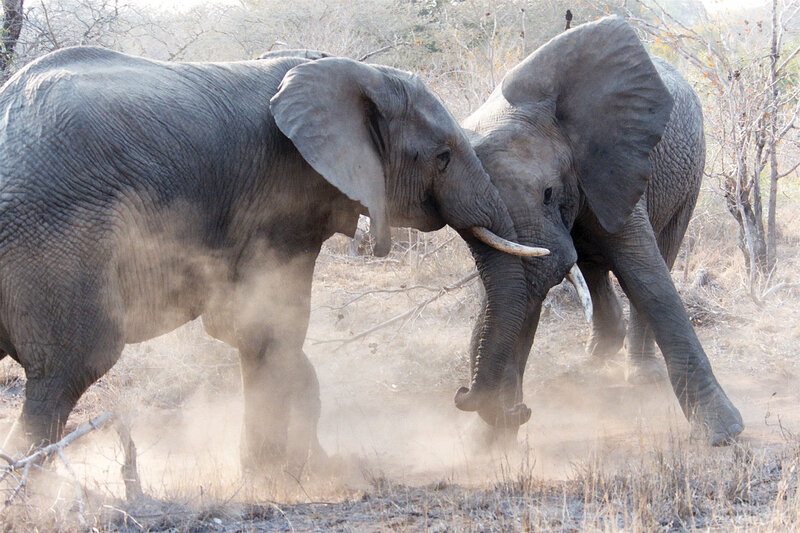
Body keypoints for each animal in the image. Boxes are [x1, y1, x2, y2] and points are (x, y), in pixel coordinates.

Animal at [0, 46, 548, 467]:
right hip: (58, 242)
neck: (346, 70)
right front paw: (272, 474)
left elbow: (250, 329)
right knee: (69, 369)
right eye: (442, 157)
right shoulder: (283, 196)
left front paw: (303, 464)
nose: (513, 410)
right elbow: (269, 324)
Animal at [455, 17, 744, 446]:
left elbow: (648, 279)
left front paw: (723, 434)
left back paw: (640, 374)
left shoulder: (611, 165)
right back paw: (594, 362)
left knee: (664, 251)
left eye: (548, 194)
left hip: (690, 176)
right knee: (592, 267)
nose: (462, 393)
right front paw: (486, 444)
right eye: (467, 231)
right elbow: (522, 300)